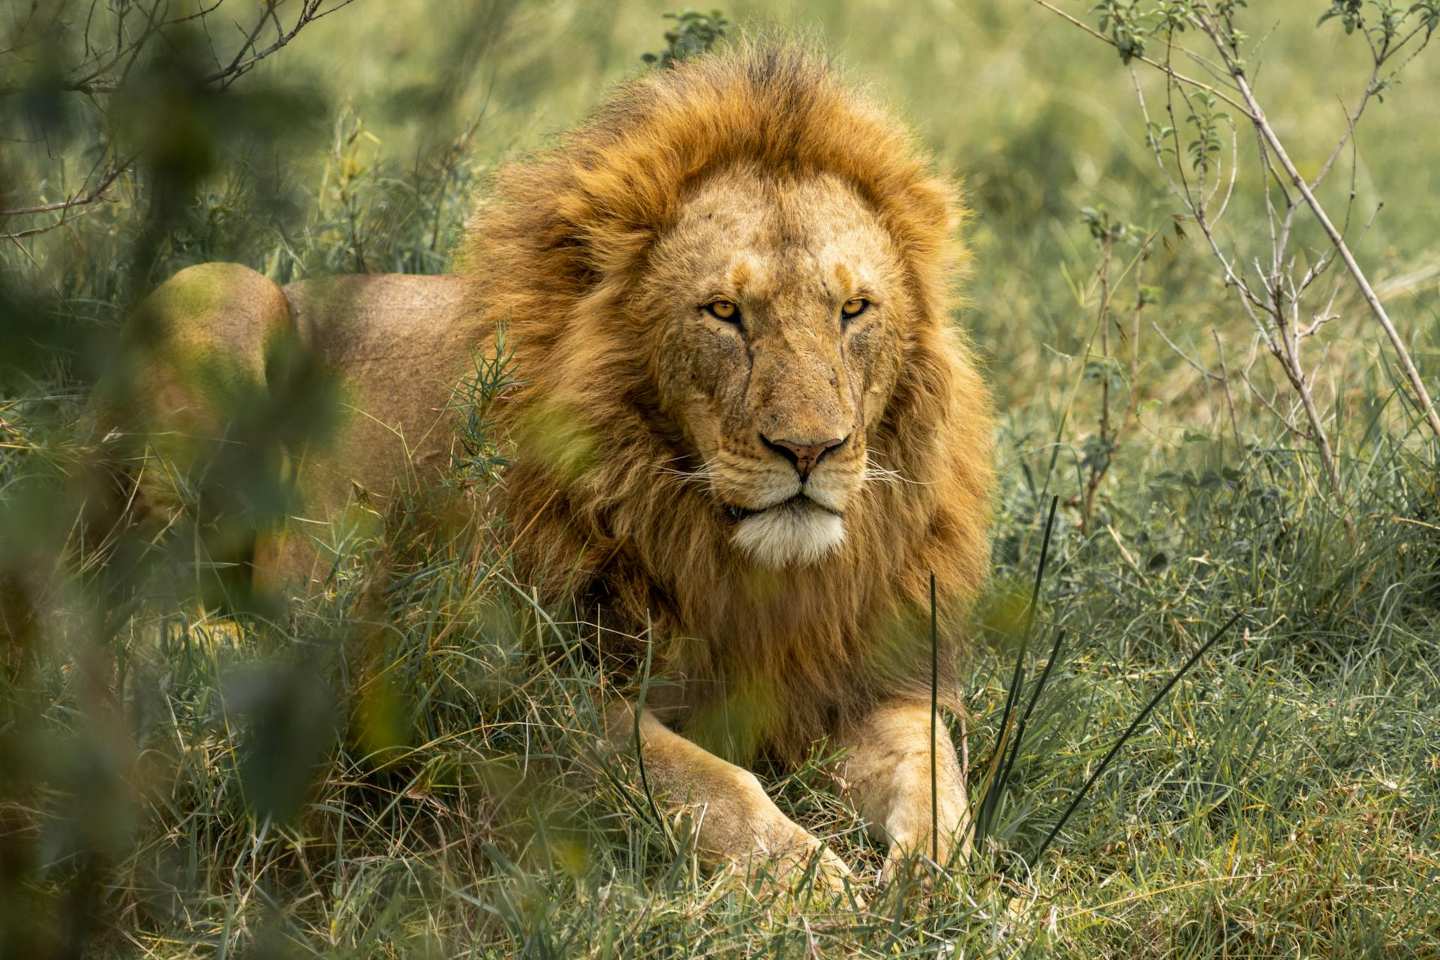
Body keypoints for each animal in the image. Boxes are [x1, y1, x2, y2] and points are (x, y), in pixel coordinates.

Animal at [104, 43, 995, 894]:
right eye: (723, 312)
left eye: (853, 311)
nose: (810, 451)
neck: (728, 558)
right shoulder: (516, 698)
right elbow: (705, 781)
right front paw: (808, 880)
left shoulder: (867, 676)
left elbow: (938, 775)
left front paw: (934, 883)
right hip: (215, 293)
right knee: (144, 611)